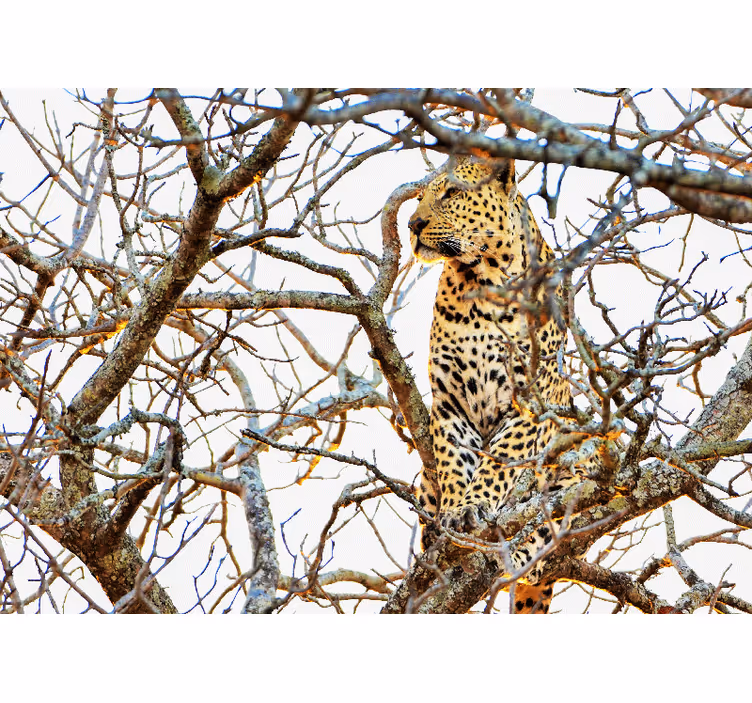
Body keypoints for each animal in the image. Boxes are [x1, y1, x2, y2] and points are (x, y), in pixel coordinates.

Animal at [408, 157, 585, 614]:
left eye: (451, 193)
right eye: (420, 196)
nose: (413, 224)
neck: (481, 282)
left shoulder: (531, 403)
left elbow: (499, 462)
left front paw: (475, 504)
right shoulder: (450, 402)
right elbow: (454, 461)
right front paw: (457, 510)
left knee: (544, 532)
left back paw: (514, 554)